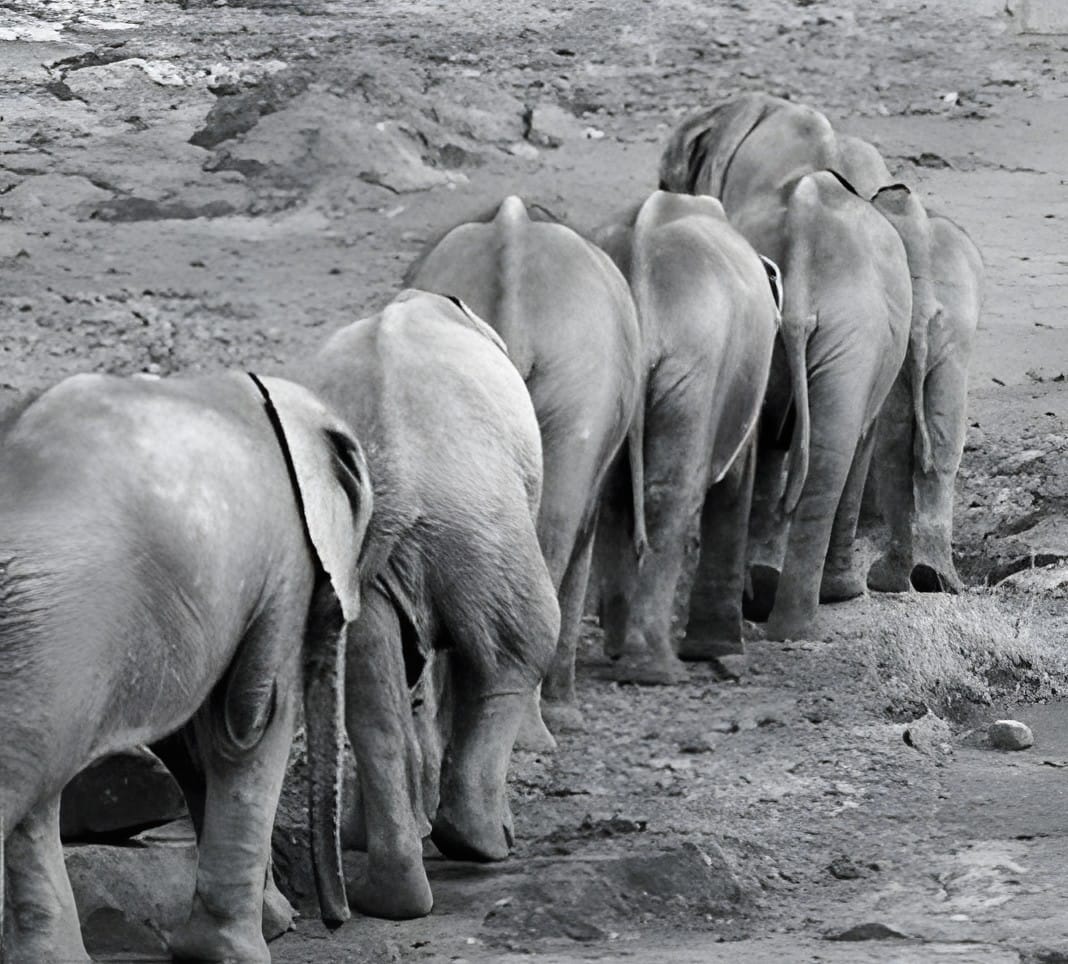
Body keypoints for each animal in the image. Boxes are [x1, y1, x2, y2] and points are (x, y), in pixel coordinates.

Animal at [0, 370, 372, 963]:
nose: (337, 920)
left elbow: (192, 740)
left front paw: (264, 927)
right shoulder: (286, 558)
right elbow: (250, 722)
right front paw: (239, 953)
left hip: (41, 640)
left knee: (37, 783)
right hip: (57, 625)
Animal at [295, 289, 560, 920]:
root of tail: (393, 477)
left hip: (365, 560)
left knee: (369, 695)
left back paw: (391, 896)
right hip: (483, 524)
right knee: (518, 652)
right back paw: (481, 843)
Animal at [587, 190, 780, 683]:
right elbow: (735, 478)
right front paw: (720, 648)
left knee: (611, 495)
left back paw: (621, 653)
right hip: (697, 355)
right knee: (670, 492)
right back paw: (654, 669)